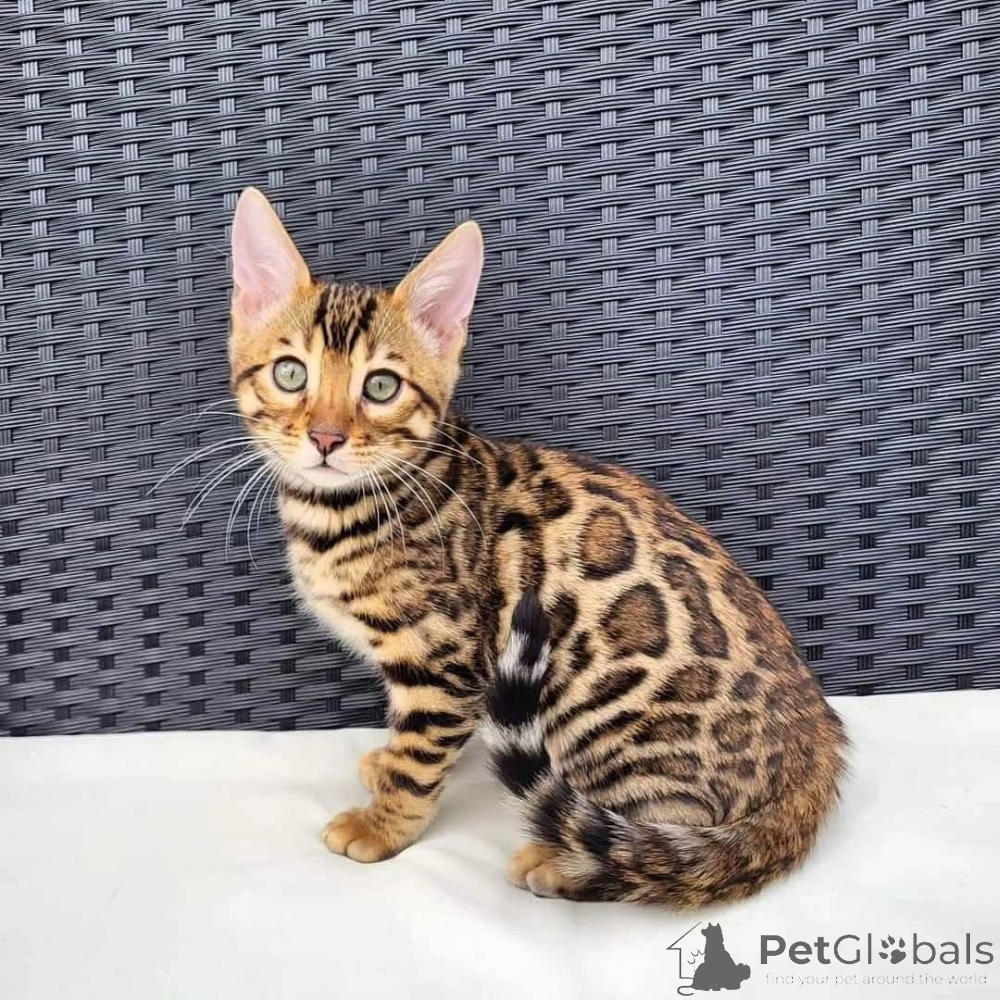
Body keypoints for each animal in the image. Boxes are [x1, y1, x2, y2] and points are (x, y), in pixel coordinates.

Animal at [227, 187, 848, 905]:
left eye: (380, 386)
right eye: (290, 374)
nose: (326, 437)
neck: (342, 509)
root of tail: (813, 768)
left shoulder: (445, 657)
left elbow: (421, 755)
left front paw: (384, 824)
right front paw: (383, 765)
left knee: (659, 854)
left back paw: (562, 861)